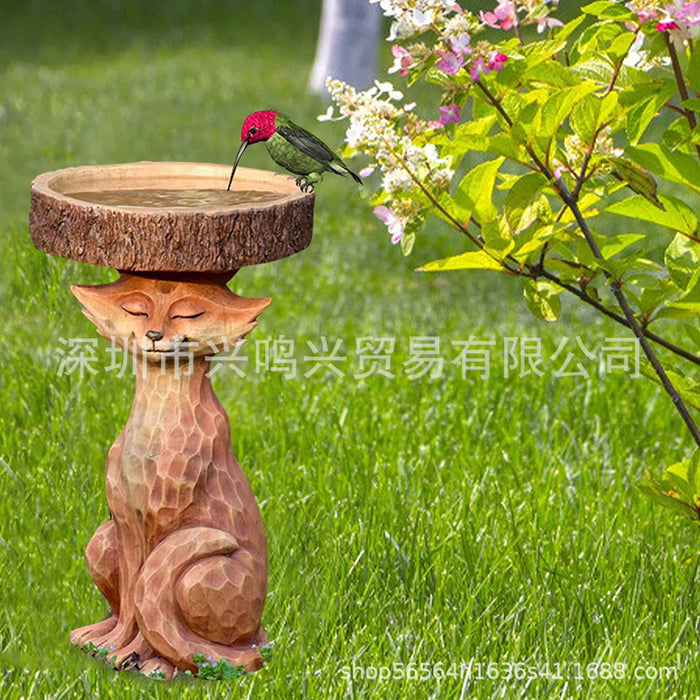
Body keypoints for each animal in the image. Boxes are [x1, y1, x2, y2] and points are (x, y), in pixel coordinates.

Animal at [69, 273, 270, 677]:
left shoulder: (163, 517)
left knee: (219, 648)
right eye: (136, 309)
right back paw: (95, 635)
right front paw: (114, 646)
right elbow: (132, 600)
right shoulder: (127, 522)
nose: (154, 334)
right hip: (102, 540)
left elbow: (146, 605)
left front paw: (144, 659)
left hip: (199, 575)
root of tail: (257, 635)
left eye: (187, 314)